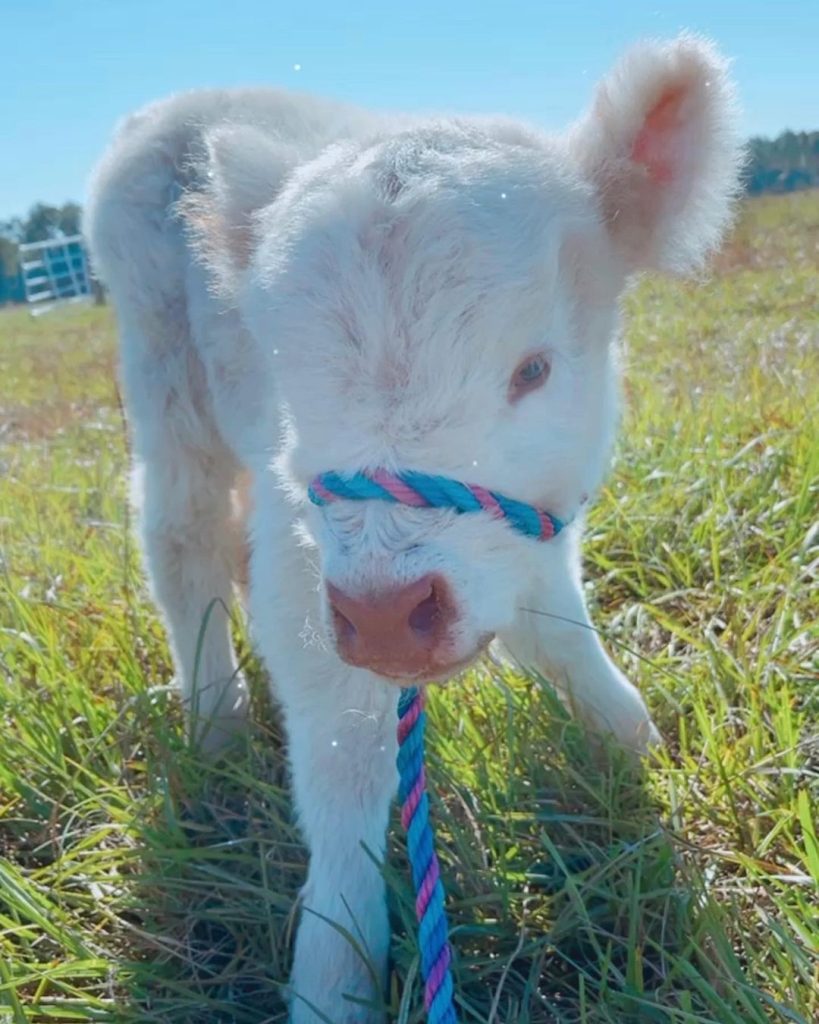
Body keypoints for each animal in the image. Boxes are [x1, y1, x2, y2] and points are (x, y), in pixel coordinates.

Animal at [84, 34, 741, 1024]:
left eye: (534, 369)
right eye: (288, 377)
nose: (389, 617)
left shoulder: (532, 531)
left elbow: (557, 630)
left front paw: (630, 748)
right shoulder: (309, 572)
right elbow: (343, 757)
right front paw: (333, 975)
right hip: (164, 384)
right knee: (181, 536)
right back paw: (218, 726)